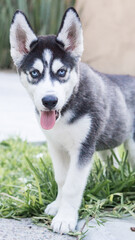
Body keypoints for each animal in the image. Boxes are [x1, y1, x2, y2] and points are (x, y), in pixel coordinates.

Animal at [10, 7, 135, 232]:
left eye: (61, 72)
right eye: (35, 73)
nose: (49, 101)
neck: (65, 112)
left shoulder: (83, 148)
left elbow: (72, 186)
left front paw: (65, 218)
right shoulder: (56, 146)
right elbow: (62, 179)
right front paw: (57, 206)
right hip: (103, 142)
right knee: (109, 159)